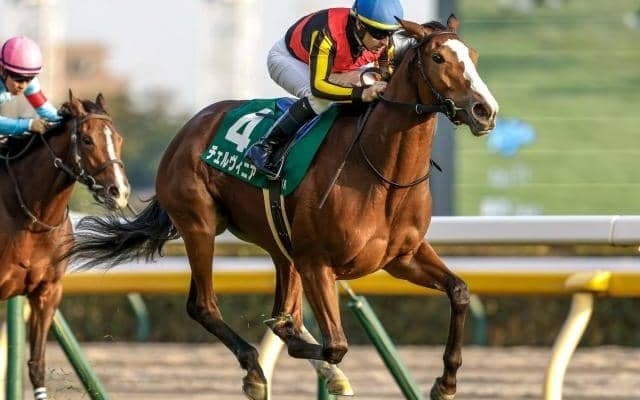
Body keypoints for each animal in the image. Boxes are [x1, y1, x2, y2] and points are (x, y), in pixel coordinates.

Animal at [0, 91, 130, 400]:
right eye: (87, 139)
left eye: (118, 138)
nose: (119, 192)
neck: (32, 219)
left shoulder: (47, 292)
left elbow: (37, 366)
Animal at [68, 16, 498, 400]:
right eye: (438, 58)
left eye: (475, 56)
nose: (485, 111)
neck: (380, 175)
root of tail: (188, 129)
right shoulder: (317, 262)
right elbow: (331, 342)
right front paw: (301, 349)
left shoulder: (402, 257)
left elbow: (459, 291)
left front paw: (446, 383)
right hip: (200, 225)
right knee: (203, 305)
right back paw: (256, 371)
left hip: (279, 246)